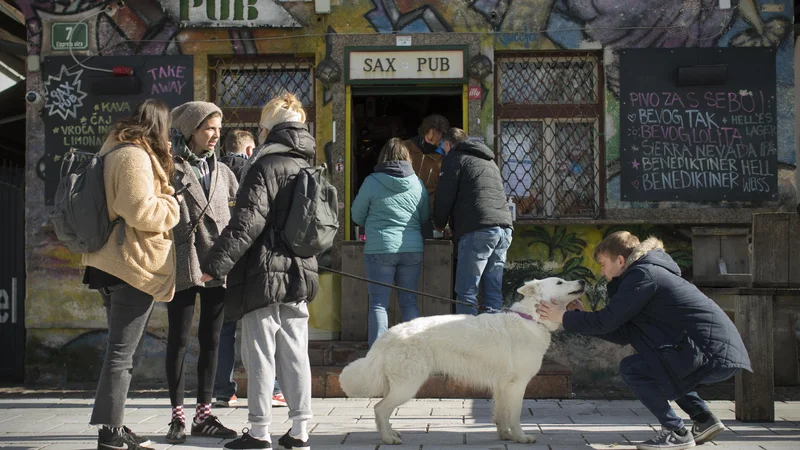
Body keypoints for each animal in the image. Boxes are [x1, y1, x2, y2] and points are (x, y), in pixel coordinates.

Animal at [338, 276, 588, 444]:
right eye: (560, 282)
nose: (583, 280)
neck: (531, 318)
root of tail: (389, 334)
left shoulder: (502, 387)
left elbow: (501, 415)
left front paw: (505, 436)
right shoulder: (517, 385)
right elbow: (515, 415)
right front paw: (521, 437)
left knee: (383, 411)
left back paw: (390, 433)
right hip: (408, 386)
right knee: (380, 409)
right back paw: (389, 439)